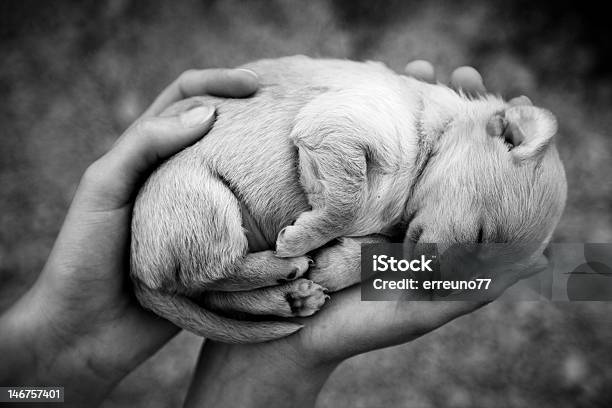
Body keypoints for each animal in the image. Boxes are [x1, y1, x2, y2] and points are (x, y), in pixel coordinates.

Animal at [131, 55, 568, 344]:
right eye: (480, 235)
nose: (437, 293)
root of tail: (137, 273)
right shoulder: (338, 129)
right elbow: (346, 203)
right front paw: (304, 237)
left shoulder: (395, 227)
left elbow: (375, 244)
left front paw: (334, 265)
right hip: (204, 198)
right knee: (211, 270)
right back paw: (283, 266)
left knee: (214, 291)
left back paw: (291, 295)